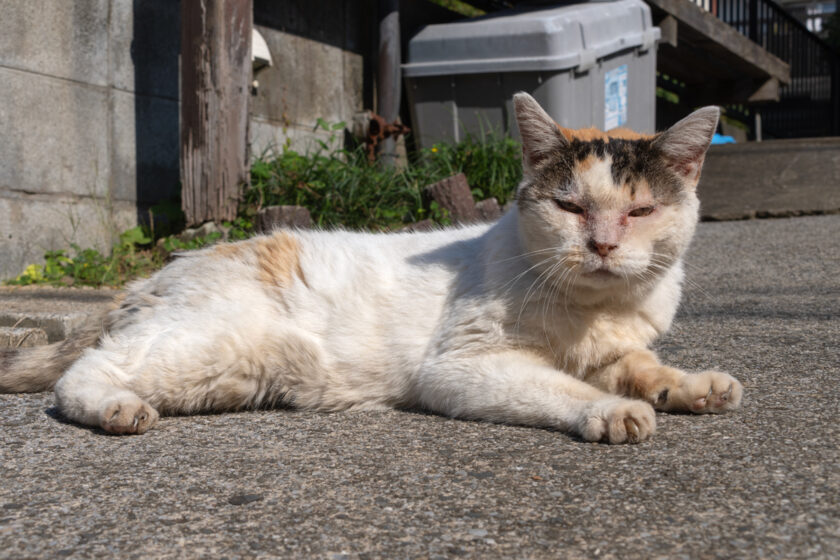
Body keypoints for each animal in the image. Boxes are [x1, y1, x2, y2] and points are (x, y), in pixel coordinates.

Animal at [0, 94, 740, 444]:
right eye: (570, 205)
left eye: (640, 211)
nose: (604, 246)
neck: (594, 311)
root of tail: (155, 275)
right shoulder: (461, 366)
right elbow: (564, 387)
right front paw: (612, 410)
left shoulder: (618, 347)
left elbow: (642, 365)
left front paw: (692, 386)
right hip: (205, 345)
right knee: (82, 371)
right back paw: (115, 407)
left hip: (238, 371)